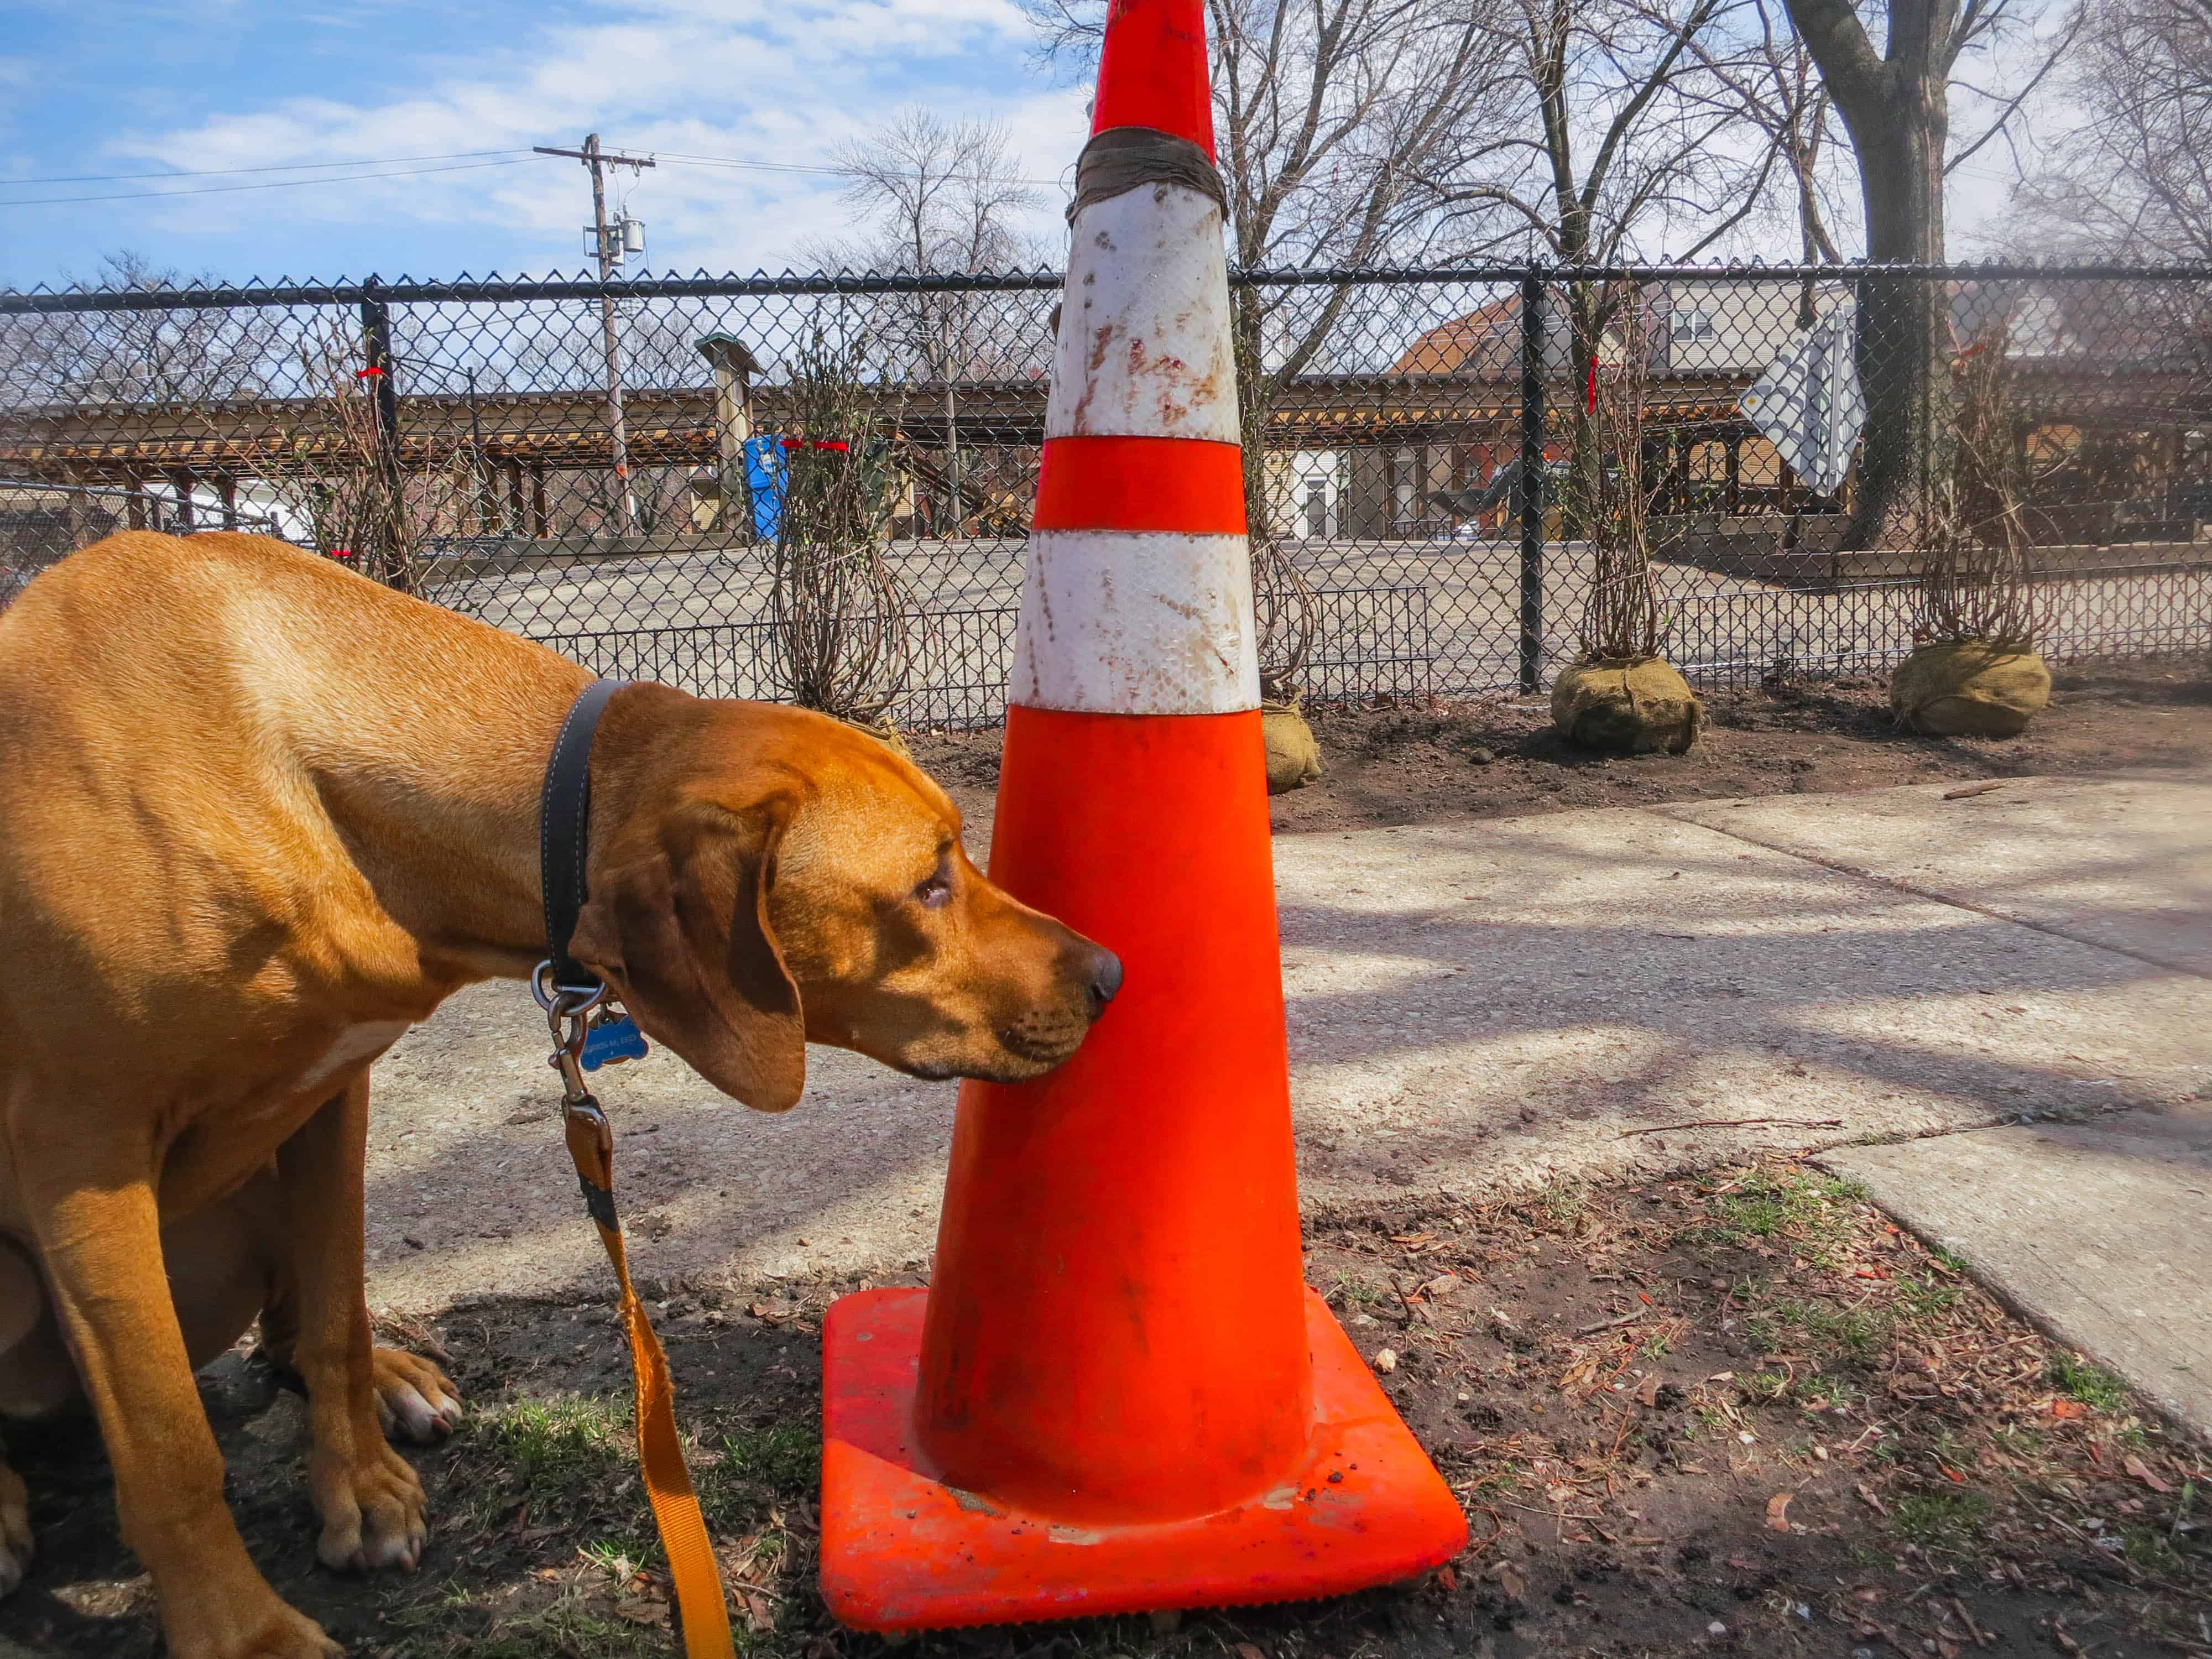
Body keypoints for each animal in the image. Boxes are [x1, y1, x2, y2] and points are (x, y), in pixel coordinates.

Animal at [0, 535, 1115, 1659]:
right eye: (929, 883)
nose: (1109, 973)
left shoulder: (331, 1089)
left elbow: (334, 1312)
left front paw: (354, 1482)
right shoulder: (80, 1149)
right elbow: (169, 1447)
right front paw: (243, 1636)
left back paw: (391, 1379)